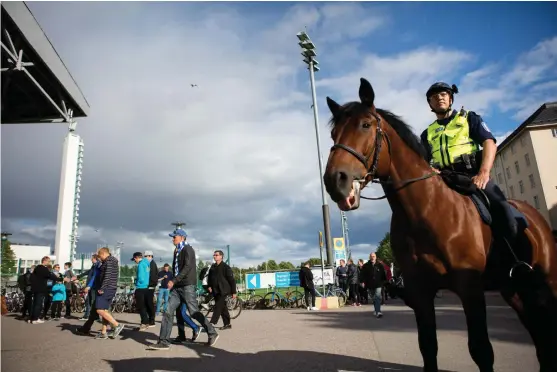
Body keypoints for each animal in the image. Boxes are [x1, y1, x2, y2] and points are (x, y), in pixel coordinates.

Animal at [322, 77, 556, 370]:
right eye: (333, 134)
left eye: (365, 125)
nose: (335, 180)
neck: (426, 211)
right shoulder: (421, 292)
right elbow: (428, 347)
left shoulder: (470, 289)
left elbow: (481, 350)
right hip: (512, 289)